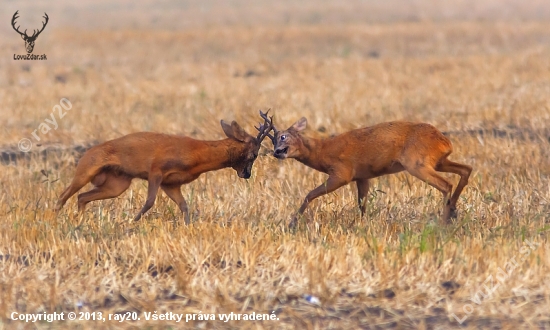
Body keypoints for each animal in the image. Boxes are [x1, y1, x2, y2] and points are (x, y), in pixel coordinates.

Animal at [56, 112, 276, 223]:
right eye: (254, 154)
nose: (246, 174)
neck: (197, 155)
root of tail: (87, 152)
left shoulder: (171, 183)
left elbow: (184, 206)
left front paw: (187, 226)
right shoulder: (156, 170)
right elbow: (150, 202)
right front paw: (132, 222)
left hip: (117, 184)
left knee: (82, 197)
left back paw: (79, 221)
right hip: (86, 170)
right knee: (64, 194)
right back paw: (55, 216)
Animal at [256, 111, 472, 227]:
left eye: (283, 136)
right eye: (273, 140)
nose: (276, 152)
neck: (322, 152)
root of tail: (445, 141)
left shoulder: (342, 173)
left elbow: (309, 194)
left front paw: (292, 223)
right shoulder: (362, 176)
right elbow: (362, 205)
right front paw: (360, 225)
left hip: (416, 162)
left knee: (446, 184)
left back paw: (443, 222)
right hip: (437, 161)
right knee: (466, 169)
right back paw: (453, 212)